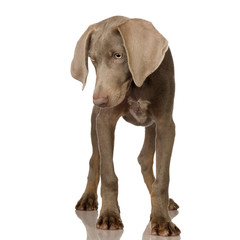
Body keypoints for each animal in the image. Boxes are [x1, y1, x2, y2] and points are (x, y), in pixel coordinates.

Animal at [71, 15, 180, 236]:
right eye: (92, 60)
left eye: (118, 55)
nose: (98, 100)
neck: (138, 85)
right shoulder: (104, 121)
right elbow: (108, 175)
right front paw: (110, 215)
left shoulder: (166, 124)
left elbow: (162, 179)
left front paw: (161, 220)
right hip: (95, 121)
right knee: (95, 159)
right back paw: (88, 198)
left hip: (152, 126)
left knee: (145, 158)